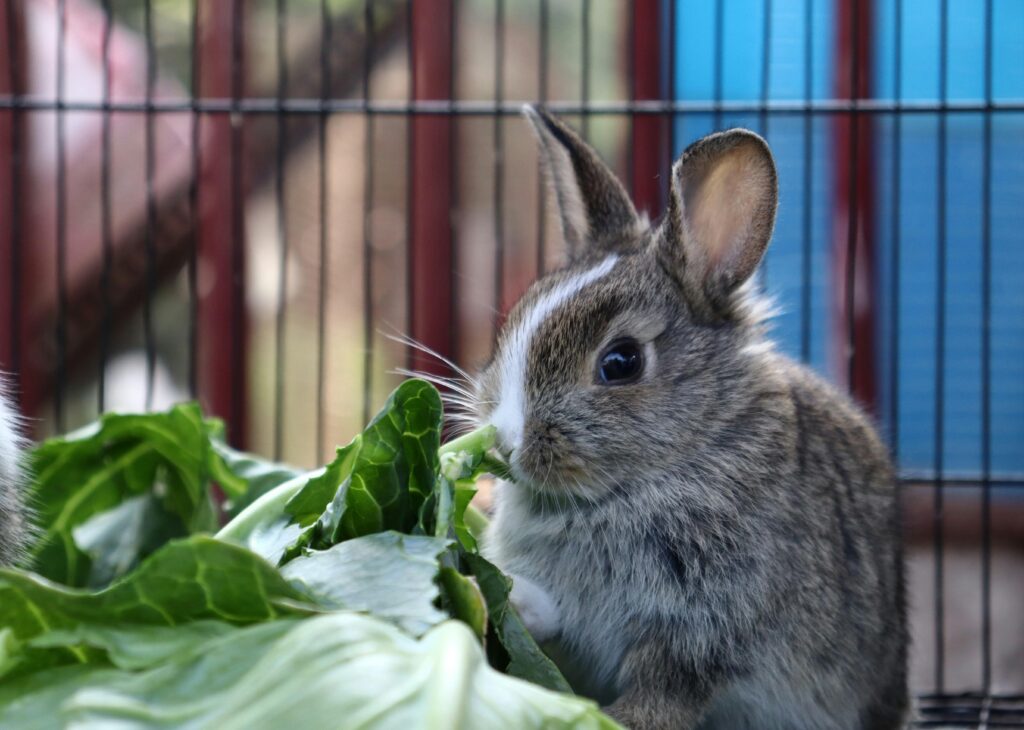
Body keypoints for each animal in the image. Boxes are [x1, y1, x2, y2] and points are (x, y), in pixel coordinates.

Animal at [474, 107, 908, 730]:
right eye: (512, 325)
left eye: (621, 362)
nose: (506, 441)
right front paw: (501, 593)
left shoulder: (700, 627)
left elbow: (667, 686)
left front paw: (623, 719)